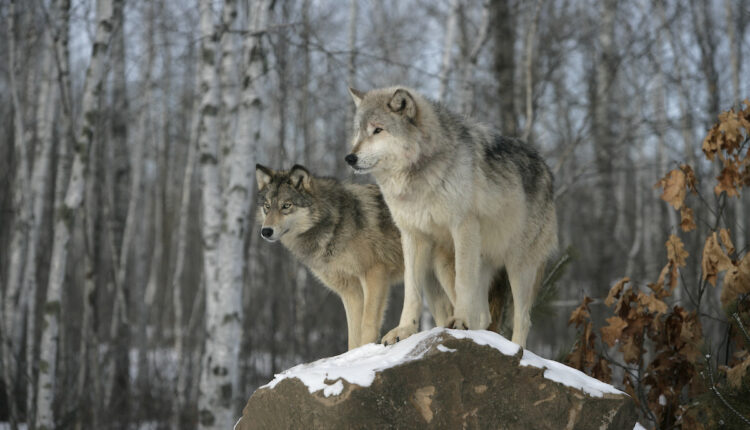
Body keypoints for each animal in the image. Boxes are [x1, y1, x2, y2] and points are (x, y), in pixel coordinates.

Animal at [255, 164, 412, 350]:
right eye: (267, 206)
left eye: (286, 205)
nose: (266, 231)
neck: (335, 223)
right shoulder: (350, 290)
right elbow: (353, 335)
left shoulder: (375, 272)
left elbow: (367, 324)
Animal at [345, 86, 558, 348]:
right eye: (358, 131)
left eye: (377, 130)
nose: (350, 158)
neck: (419, 177)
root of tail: (547, 169)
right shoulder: (412, 236)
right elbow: (411, 290)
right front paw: (404, 330)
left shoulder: (463, 226)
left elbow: (463, 282)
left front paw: (460, 321)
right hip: (449, 261)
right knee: (485, 315)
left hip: (518, 264)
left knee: (523, 318)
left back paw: (515, 347)